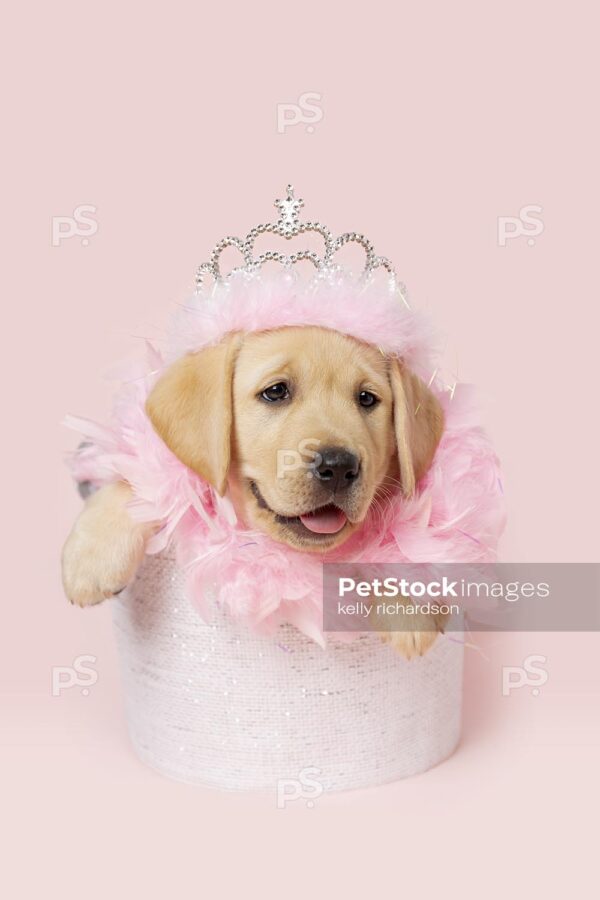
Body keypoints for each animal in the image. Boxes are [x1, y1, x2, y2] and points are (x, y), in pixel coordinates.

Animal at [61, 326, 446, 656]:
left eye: (366, 399)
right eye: (276, 392)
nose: (338, 466)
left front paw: (408, 602)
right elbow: (134, 481)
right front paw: (92, 557)